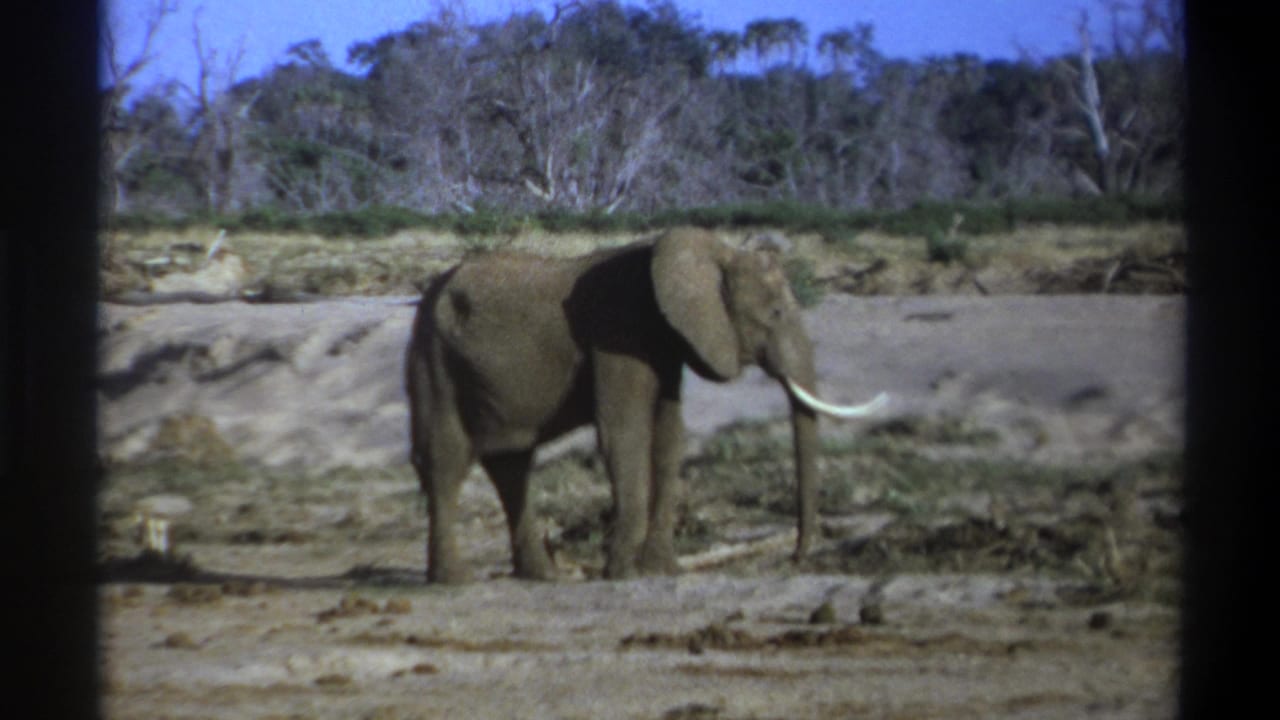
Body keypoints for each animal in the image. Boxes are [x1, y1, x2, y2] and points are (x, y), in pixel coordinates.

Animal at [404, 227, 887, 583]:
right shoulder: (620, 332)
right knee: (447, 460)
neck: (711, 250)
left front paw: (662, 570)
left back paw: (542, 577)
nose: (796, 558)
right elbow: (624, 434)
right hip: (434, 357)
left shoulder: (666, 340)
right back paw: (455, 580)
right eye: (775, 314)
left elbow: (668, 437)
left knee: (511, 465)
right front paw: (622, 574)